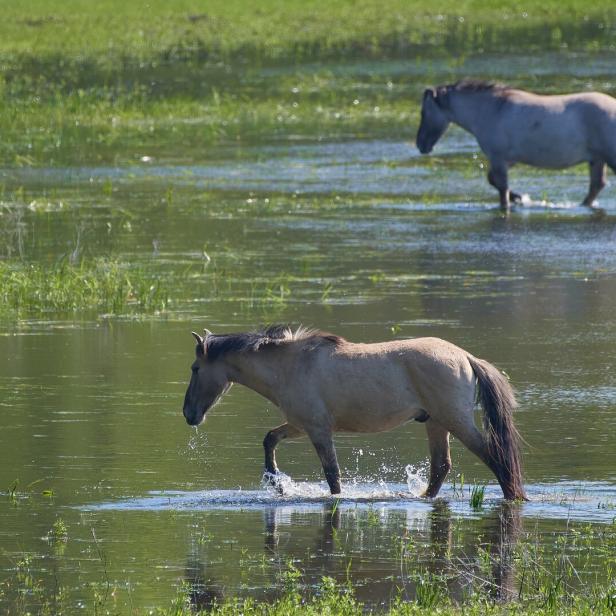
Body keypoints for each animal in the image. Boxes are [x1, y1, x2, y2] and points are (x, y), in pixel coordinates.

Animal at [180, 324, 528, 502]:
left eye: (195, 368)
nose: (188, 413)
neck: (290, 365)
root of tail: (467, 357)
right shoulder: (299, 424)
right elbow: (269, 439)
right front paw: (276, 483)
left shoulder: (318, 429)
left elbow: (332, 475)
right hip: (436, 423)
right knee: (441, 467)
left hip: (457, 421)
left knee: (496, 457)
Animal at [416, 79, 616, 212]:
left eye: (424, 112)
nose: (420, 144)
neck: (491, 109)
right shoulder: (508, 160)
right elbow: (492, 180)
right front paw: (520, 198)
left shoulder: (498, 158)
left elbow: (501, 187)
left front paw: (514, 201)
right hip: (597, 159)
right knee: (596, 186)